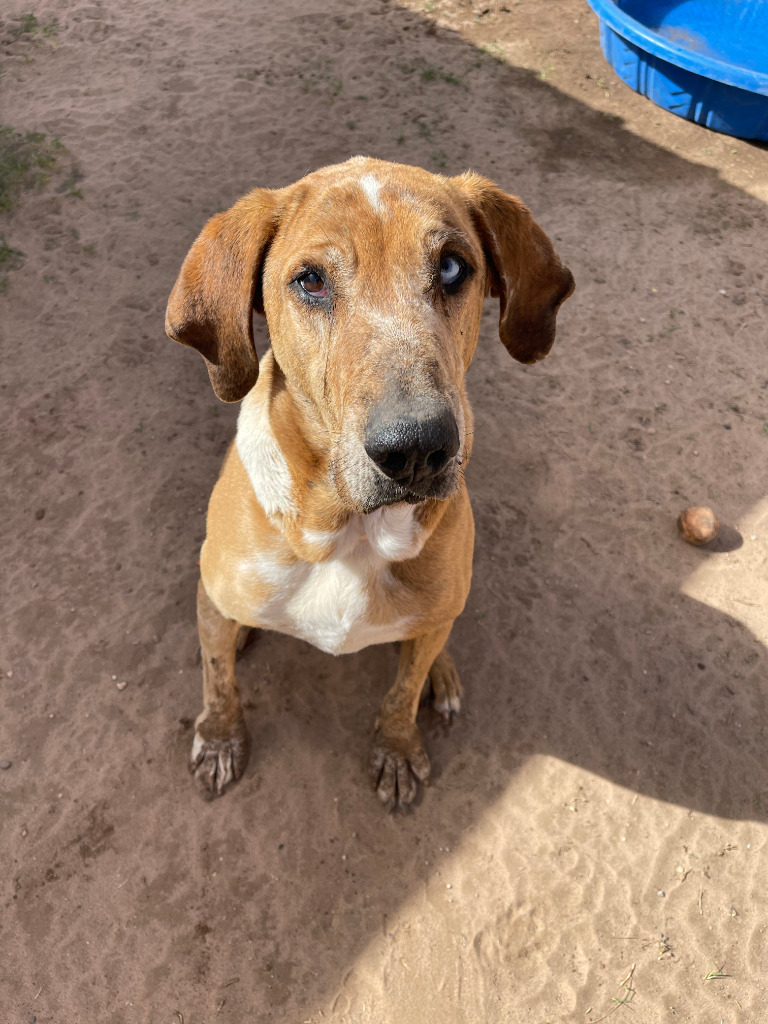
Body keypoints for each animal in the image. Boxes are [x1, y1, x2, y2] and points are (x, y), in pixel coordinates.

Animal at [169, 153, 577, 806]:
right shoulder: (214, 599)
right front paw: (220, 737)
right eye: (310, 280)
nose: (415, 449)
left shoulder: (429, 618)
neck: (349, 531)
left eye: (453, 266)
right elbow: (217, 679)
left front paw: (398, 746)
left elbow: (401, 690)